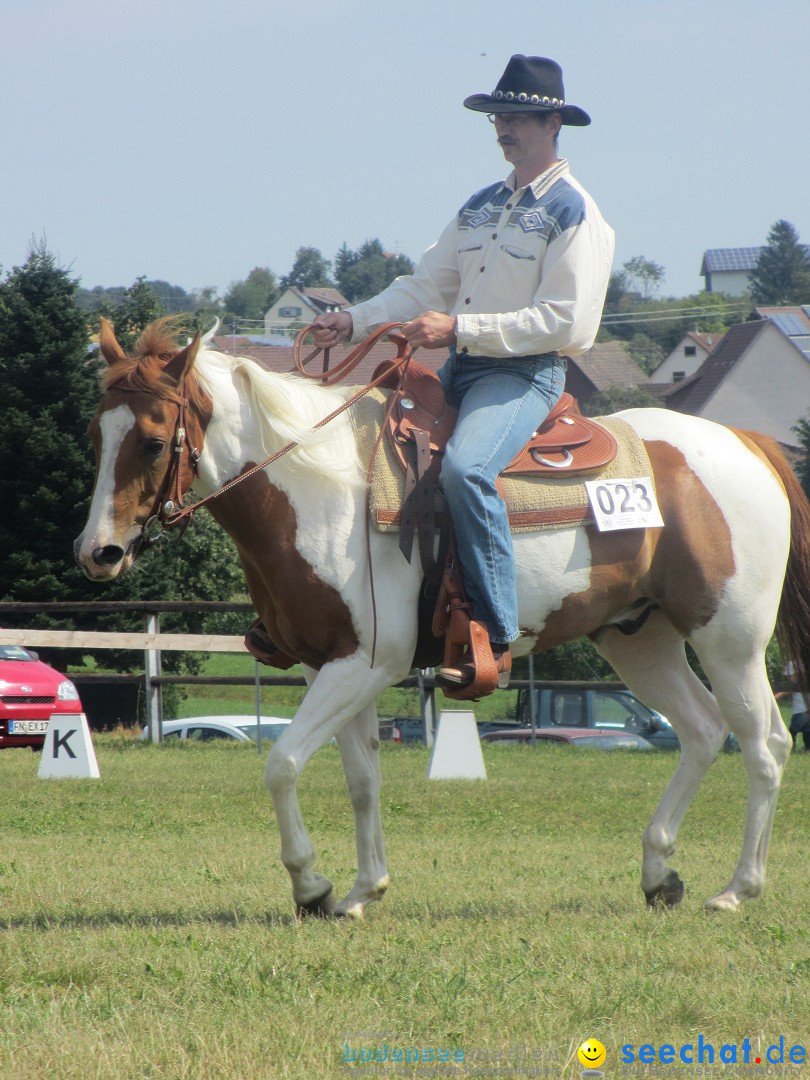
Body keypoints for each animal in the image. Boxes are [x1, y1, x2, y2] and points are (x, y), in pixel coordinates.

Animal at [74, 315, 810, 915]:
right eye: (95, 437)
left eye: (152, 439)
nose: (98, 552)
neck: (320, 491)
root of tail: (748, 443)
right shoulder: (328, 665)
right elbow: (361, 779)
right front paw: (362, 890)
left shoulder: (367, 663)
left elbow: (281, 762)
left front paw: (311, 887)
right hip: (639, 640)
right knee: (703, 731)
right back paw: (660, 874)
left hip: (731, 640)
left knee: (765, 744)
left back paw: (737, 889)